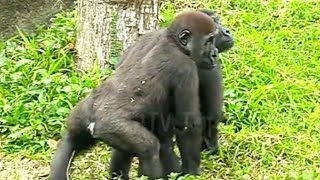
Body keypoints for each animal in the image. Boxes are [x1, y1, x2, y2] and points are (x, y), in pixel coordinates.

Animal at [50, 10, 219, 180]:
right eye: (208, 41)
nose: (215, 54)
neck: (173, 42)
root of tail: (91, 119)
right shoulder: (185, 68)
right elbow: (187, 125)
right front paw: (192, 171)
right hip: (111, 127)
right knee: (149, 149)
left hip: (81, 115)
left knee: (71, 141)